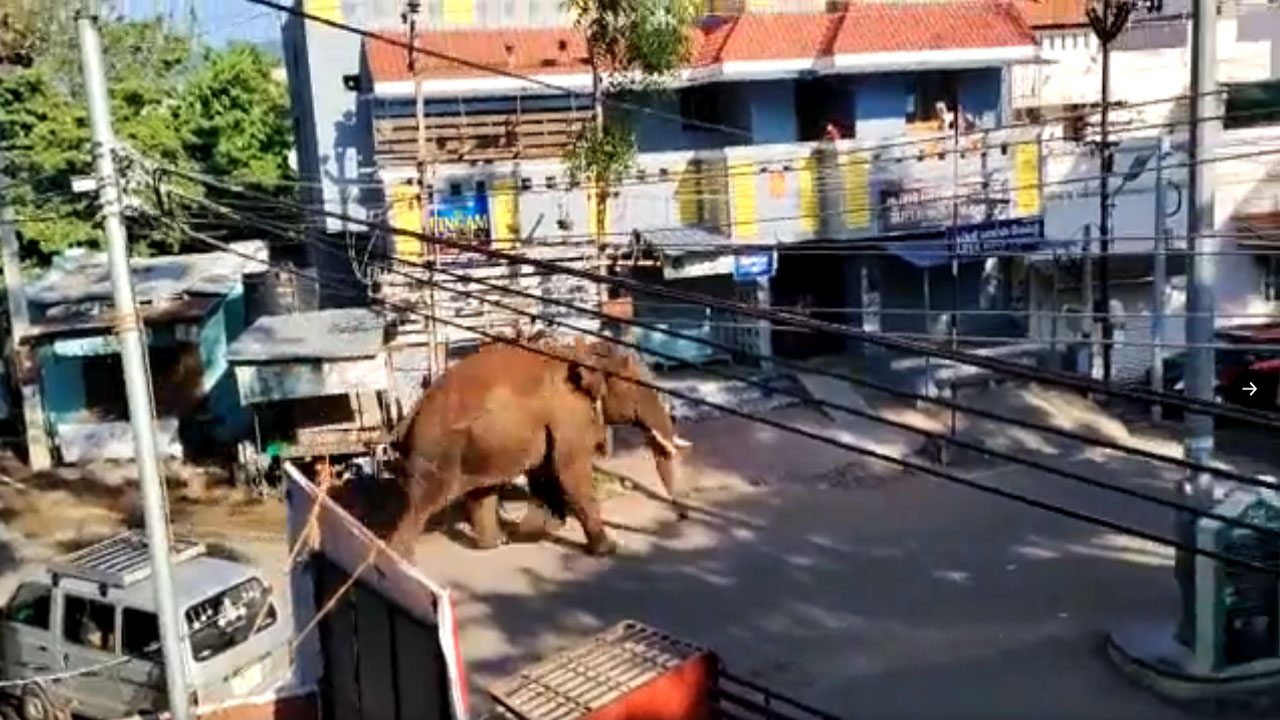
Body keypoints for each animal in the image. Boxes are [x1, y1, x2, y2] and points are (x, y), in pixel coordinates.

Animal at [383, 335, 692, 558]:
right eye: (640, 388)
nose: (682, 517)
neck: (584, 353)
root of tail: (411, 413)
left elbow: (547, 469)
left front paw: (537, 528)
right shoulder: (568, 414)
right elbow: (571, 471)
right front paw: (607, 549)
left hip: (479, 446)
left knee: (481, 491)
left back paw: (497, 543)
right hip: (439, 450)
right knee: (423, 504)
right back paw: (400, 561)